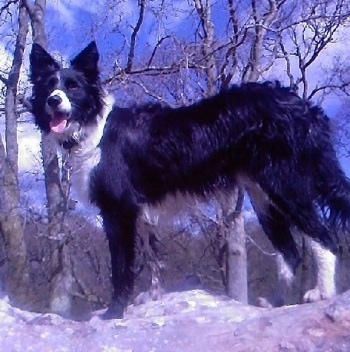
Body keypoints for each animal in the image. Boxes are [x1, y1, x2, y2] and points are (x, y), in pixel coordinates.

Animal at [28, 42, 350, 320]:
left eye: (73, 86)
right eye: (49, 86)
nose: (53, 100)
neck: (93, 126)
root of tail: (300, 104)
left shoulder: (118, 211)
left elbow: (121, 268)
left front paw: (114, 313)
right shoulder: (139, 211)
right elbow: (153, 258)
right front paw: (152, 297)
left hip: (284, 186)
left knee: (324, 238)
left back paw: (321, 294)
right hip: (264, 198)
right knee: (290, 253)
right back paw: (275, 303)